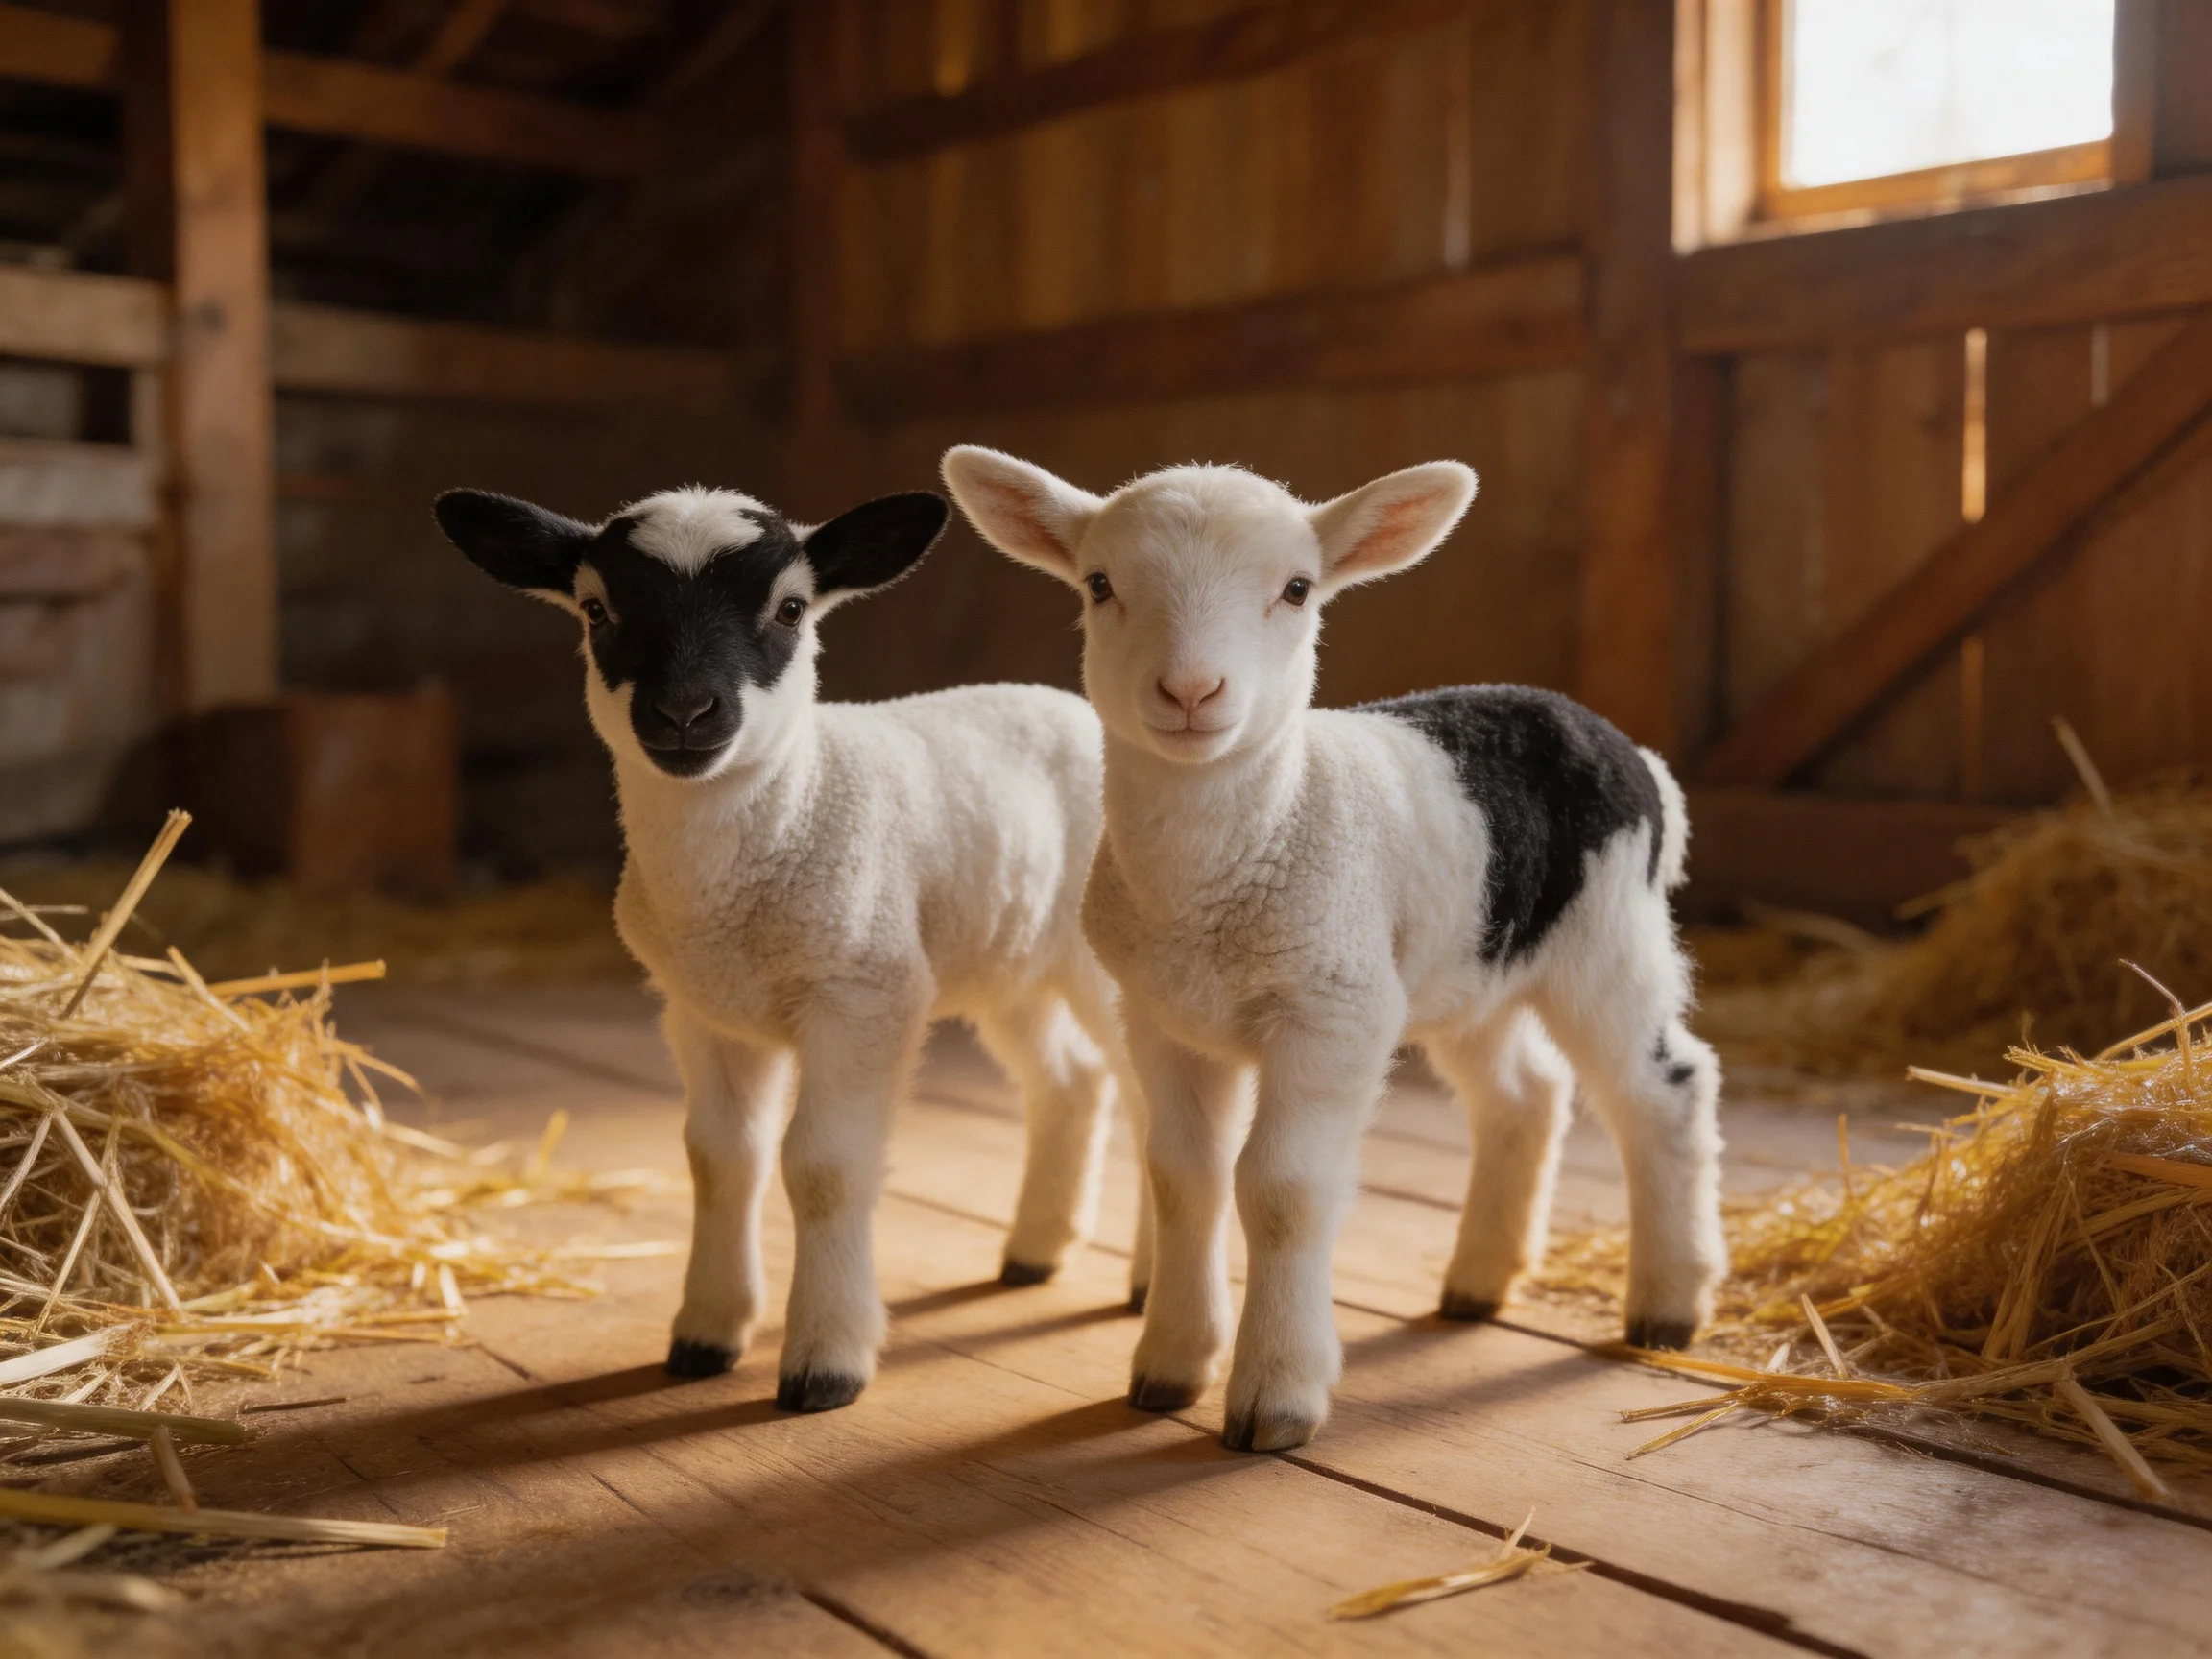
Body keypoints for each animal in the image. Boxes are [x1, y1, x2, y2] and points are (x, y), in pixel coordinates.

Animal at [433, 482, 1147, 1413]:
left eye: (791, 608)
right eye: (596, 609)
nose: (685, 711)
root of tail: (1069, 705)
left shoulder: (864, 992)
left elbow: (824, 1168)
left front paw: (825, 1361)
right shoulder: (705, 1010)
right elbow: (719, 1160)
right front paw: (706, 1331)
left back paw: (1147, 1284)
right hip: (1008, 957)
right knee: (1072, 1081)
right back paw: (1037, 1251)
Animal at [942, 446, 1725, 1454]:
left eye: (1297, 589)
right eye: (1100, 584)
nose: (1190, 692)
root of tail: (1623, 746)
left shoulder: (1331, 1008)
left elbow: (1279, 1188)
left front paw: (1274, 1395)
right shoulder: (1163, 1017)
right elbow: (1183, 1176)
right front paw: (1169, 1364)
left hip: (1608, 936)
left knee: (1665, 1088)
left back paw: (1668, 1304)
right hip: (1463, 963)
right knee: (1525, 1095)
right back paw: (1479, 1282)